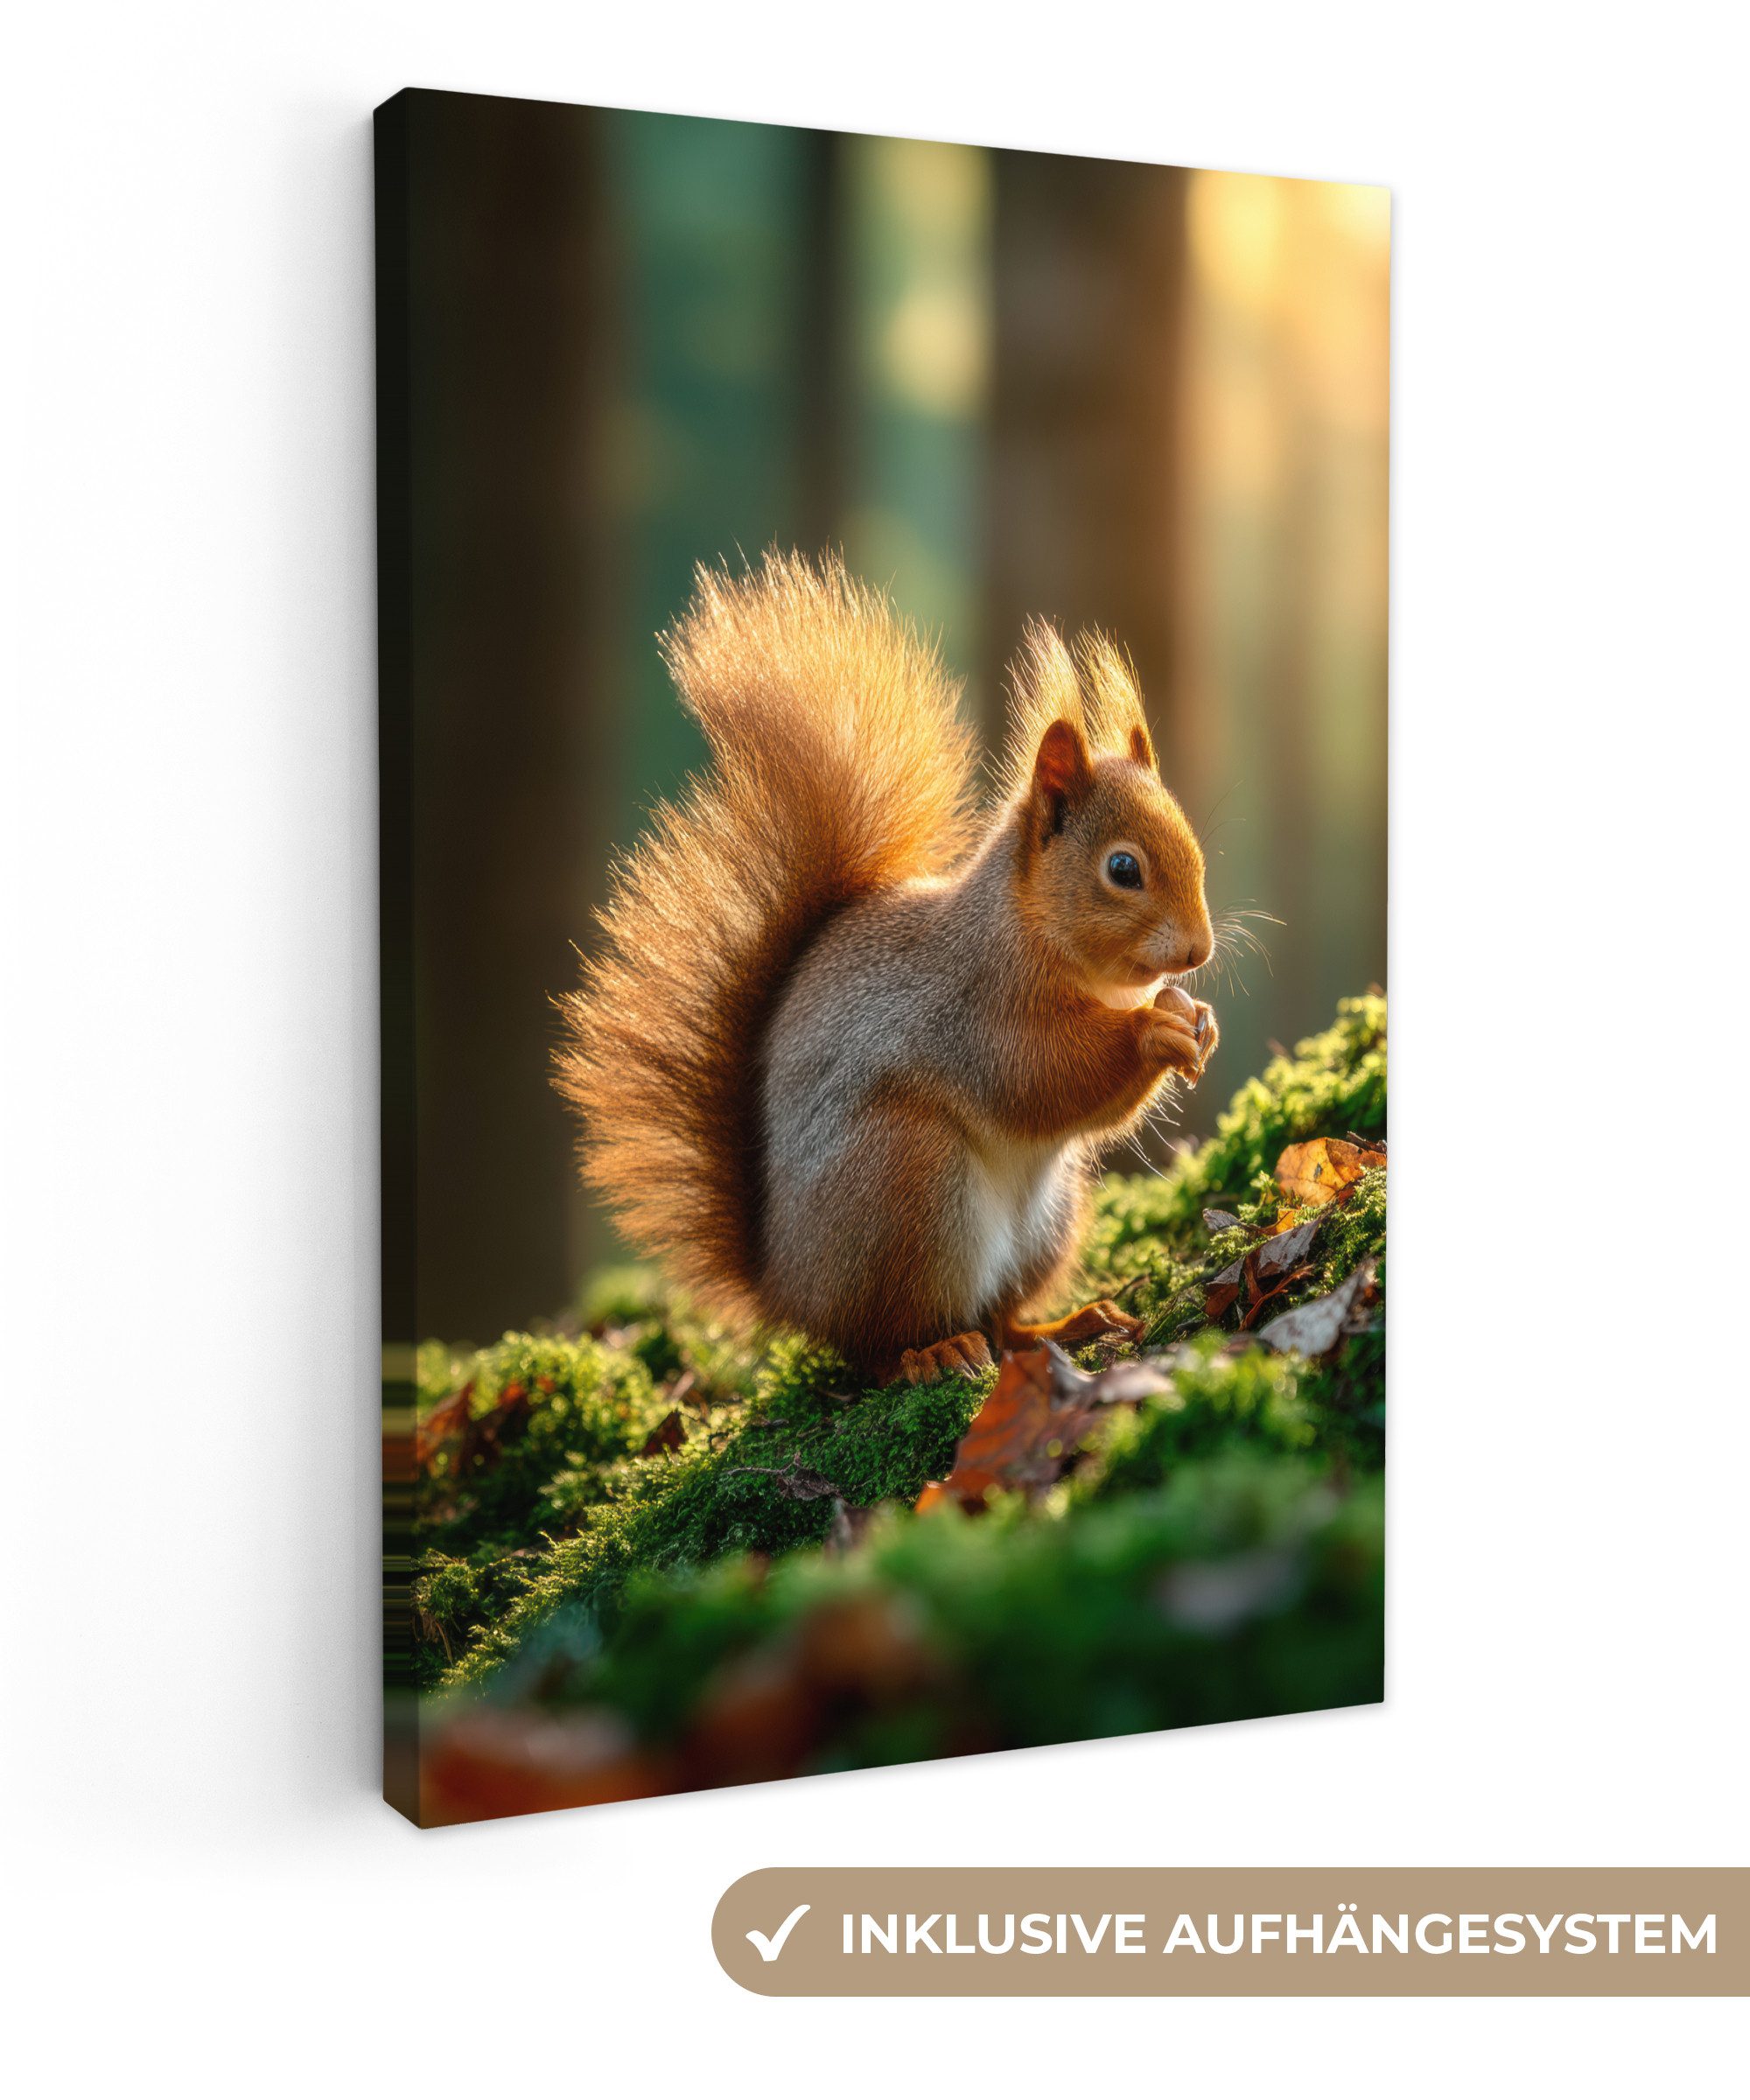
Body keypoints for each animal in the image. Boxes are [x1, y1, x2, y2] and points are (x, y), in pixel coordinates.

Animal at [556, 551, 1217, 1385]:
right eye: (1123, 869)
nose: (1199, 951)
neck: (1027, 932)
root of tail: (787, 1288)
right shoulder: (974, 1010)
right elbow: (1042, 1076)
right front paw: (1154, 1031)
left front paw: (1196, 1020)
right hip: (908, 1183)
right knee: (881, 1343)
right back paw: (933, 1352)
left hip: (1047, 1219)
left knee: (1001, 1319)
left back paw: (1064, 1324)